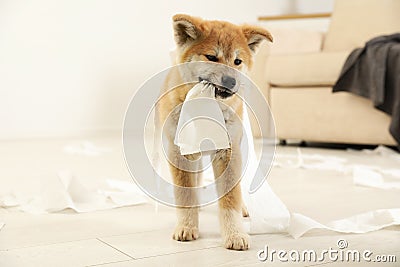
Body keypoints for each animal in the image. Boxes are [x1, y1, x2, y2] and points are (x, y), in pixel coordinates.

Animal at [158, 13, 274, 250]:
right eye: (211, 57)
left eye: (237, 61)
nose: (231, 80)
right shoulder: (179, 152)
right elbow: (185, 194)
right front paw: (187, 226)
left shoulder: (228, 152)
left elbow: (230, 197)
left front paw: (235, 234)